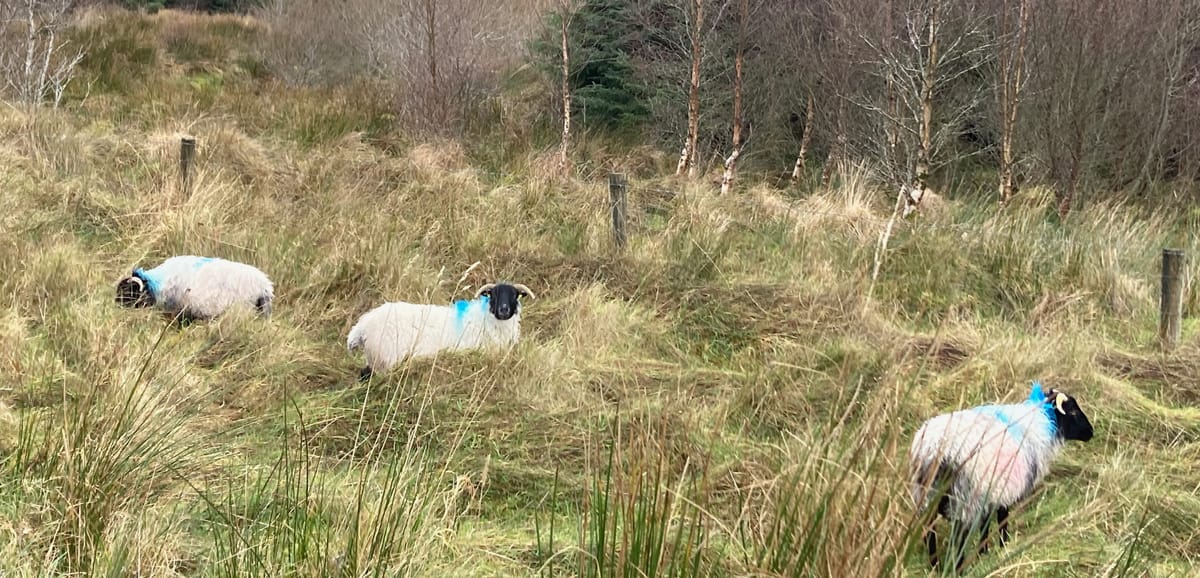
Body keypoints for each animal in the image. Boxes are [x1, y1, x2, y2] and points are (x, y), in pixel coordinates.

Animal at [348, 280, 535, 378]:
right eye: (493, 294)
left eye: (514, 295)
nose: (503, 310)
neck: (486, 320)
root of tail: (363, 325)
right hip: (386, 358)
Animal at [907, 381, 1099, 570]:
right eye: (1073, 411)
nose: (1091, 433)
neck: (1041, 421)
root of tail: (935, 448)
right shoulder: (1004, 487)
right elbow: (1001, 520)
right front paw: (1003, 548)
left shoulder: (989, 492)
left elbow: (985, 525)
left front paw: (984, 553)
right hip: (965, 496)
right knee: (958, 536)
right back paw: (958, 568)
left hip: (927, 494)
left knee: (928, 532)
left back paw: (934, 566)